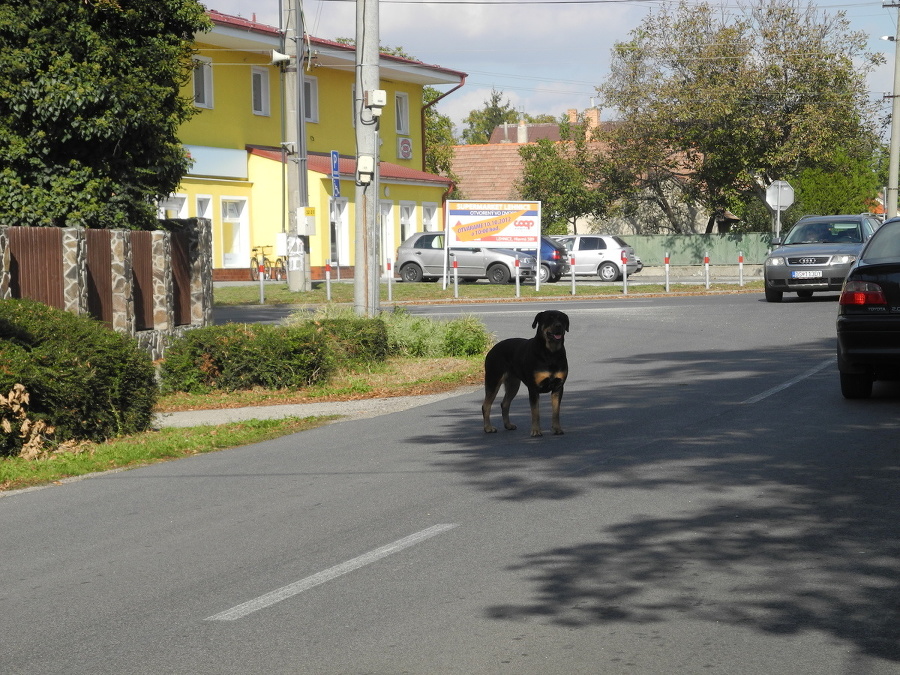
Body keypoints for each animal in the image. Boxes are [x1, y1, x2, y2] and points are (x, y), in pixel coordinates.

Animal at [482, 310, 568, 438]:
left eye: (562, 319)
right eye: (549, 318)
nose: (559, 326)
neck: (551, 353)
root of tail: (492, 349)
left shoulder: (558, 387)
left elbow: (556, 411)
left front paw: (557, 429)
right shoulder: (533, 388)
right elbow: (535, 412)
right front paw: (536, 431)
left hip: (513, 384)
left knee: (505, 403)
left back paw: (508, 425)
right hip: (493, 379)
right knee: (486, 405)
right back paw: (488, 428)